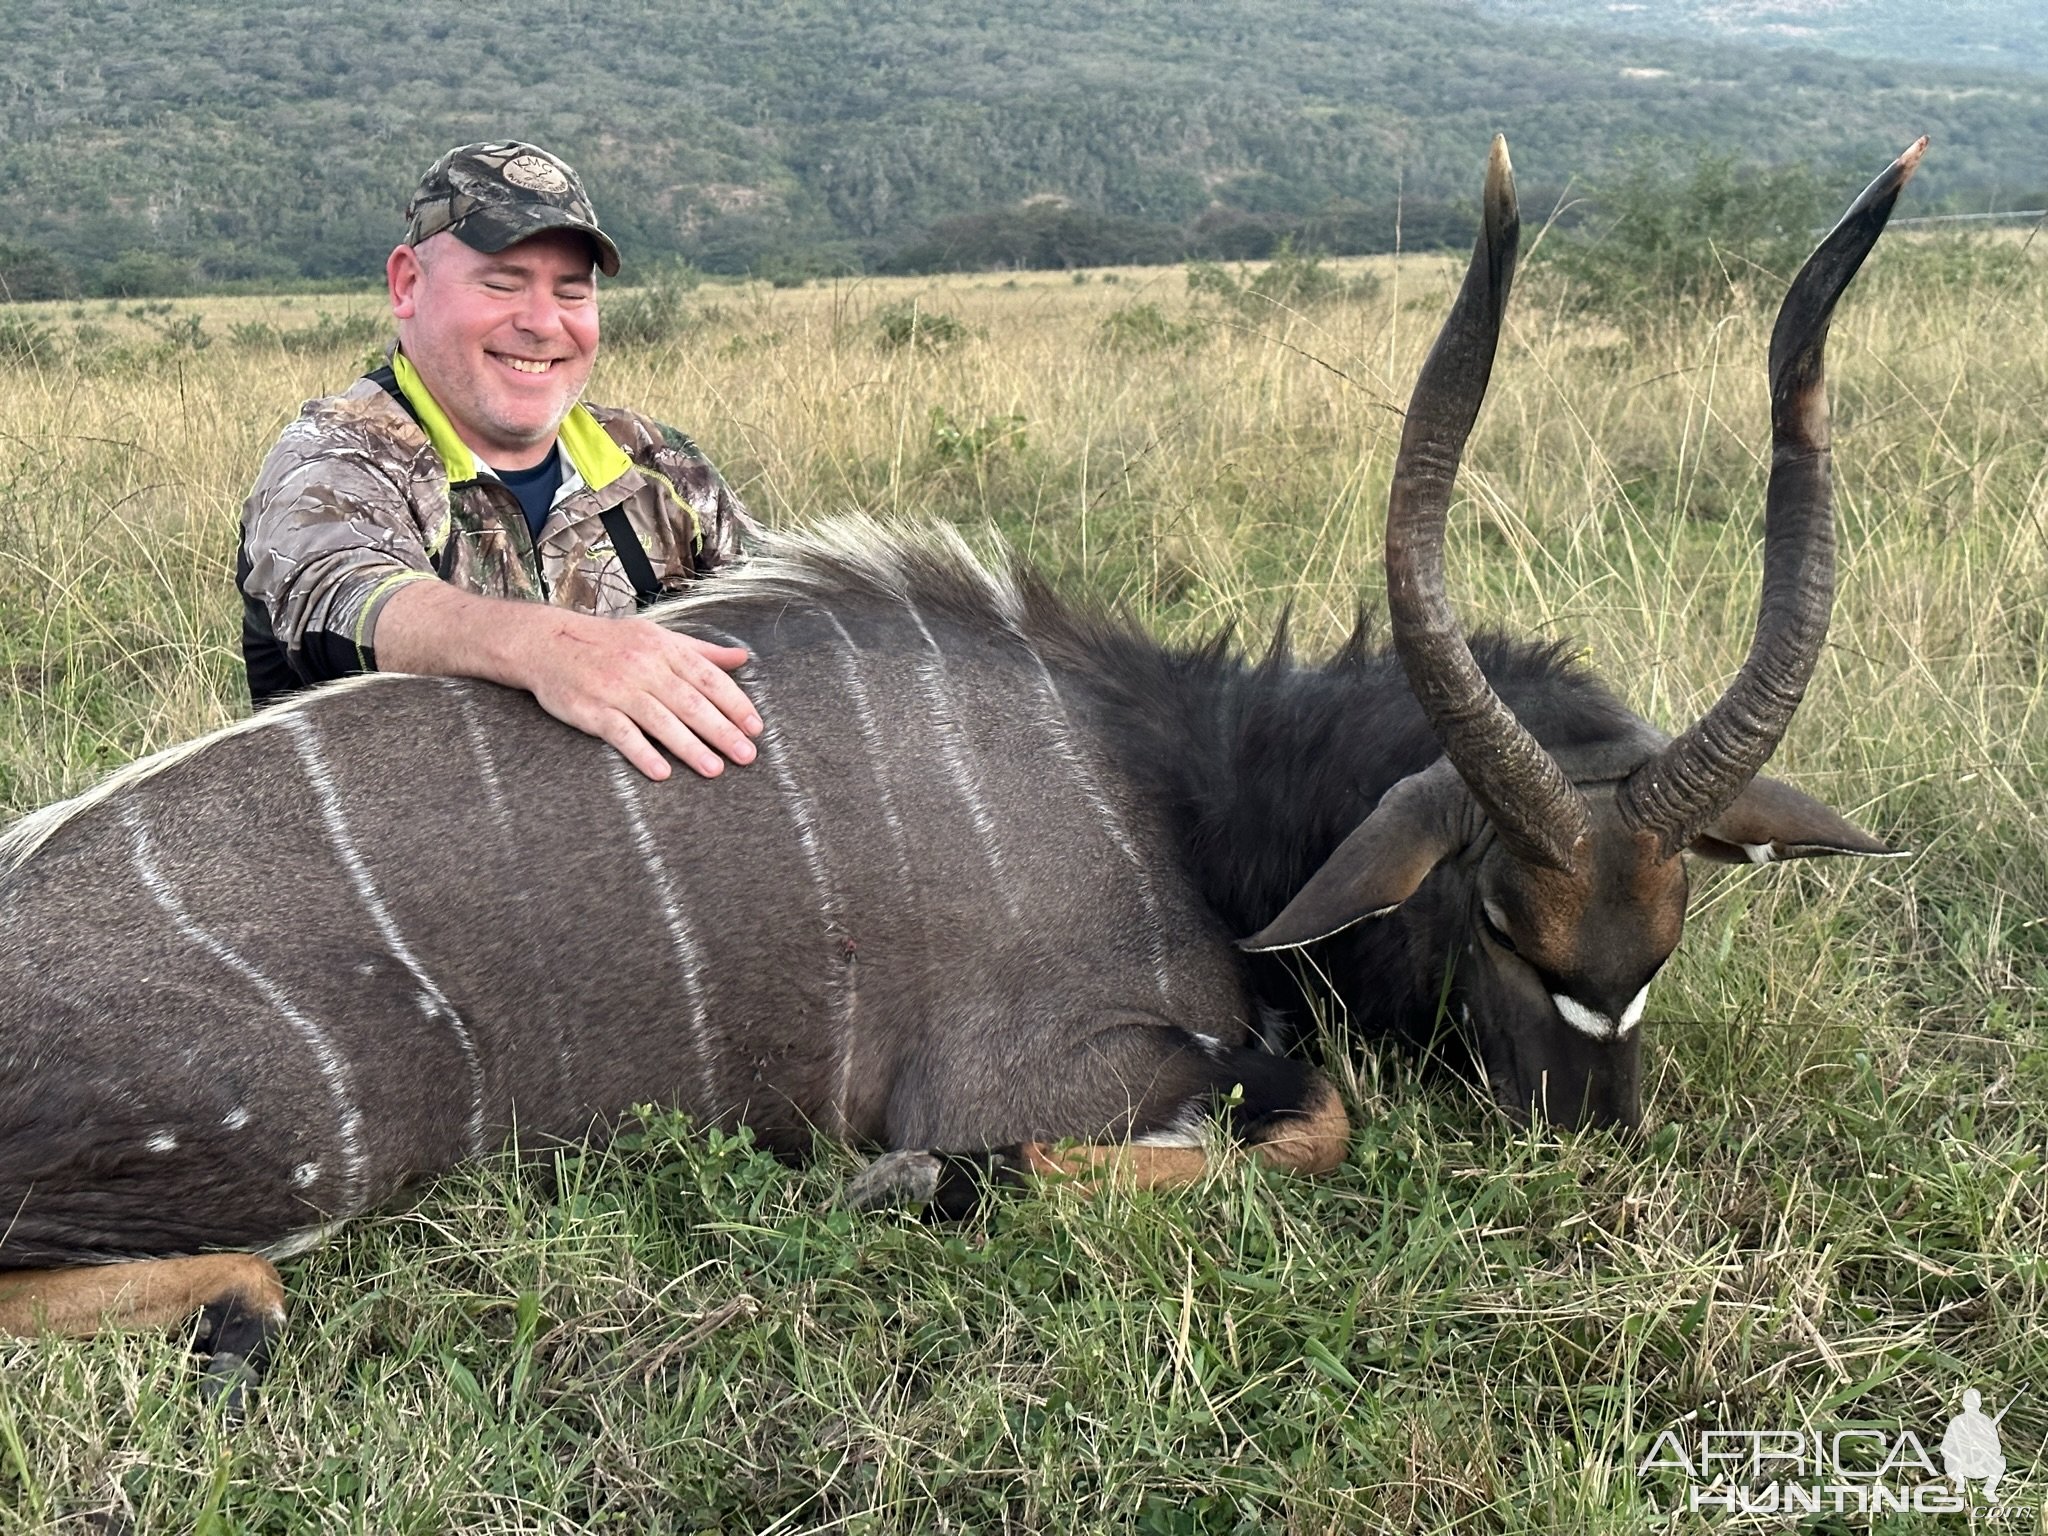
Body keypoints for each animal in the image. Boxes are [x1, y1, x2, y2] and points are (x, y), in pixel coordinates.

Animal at [4, 138, 1916, 1400]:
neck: (1174, 783)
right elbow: (1303, 1114)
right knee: (236, 1286)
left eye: (1666, 936)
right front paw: (918, 1185)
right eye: (1498, 924)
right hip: (305, 1155)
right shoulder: (1035, 1067)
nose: (1593, 1139)